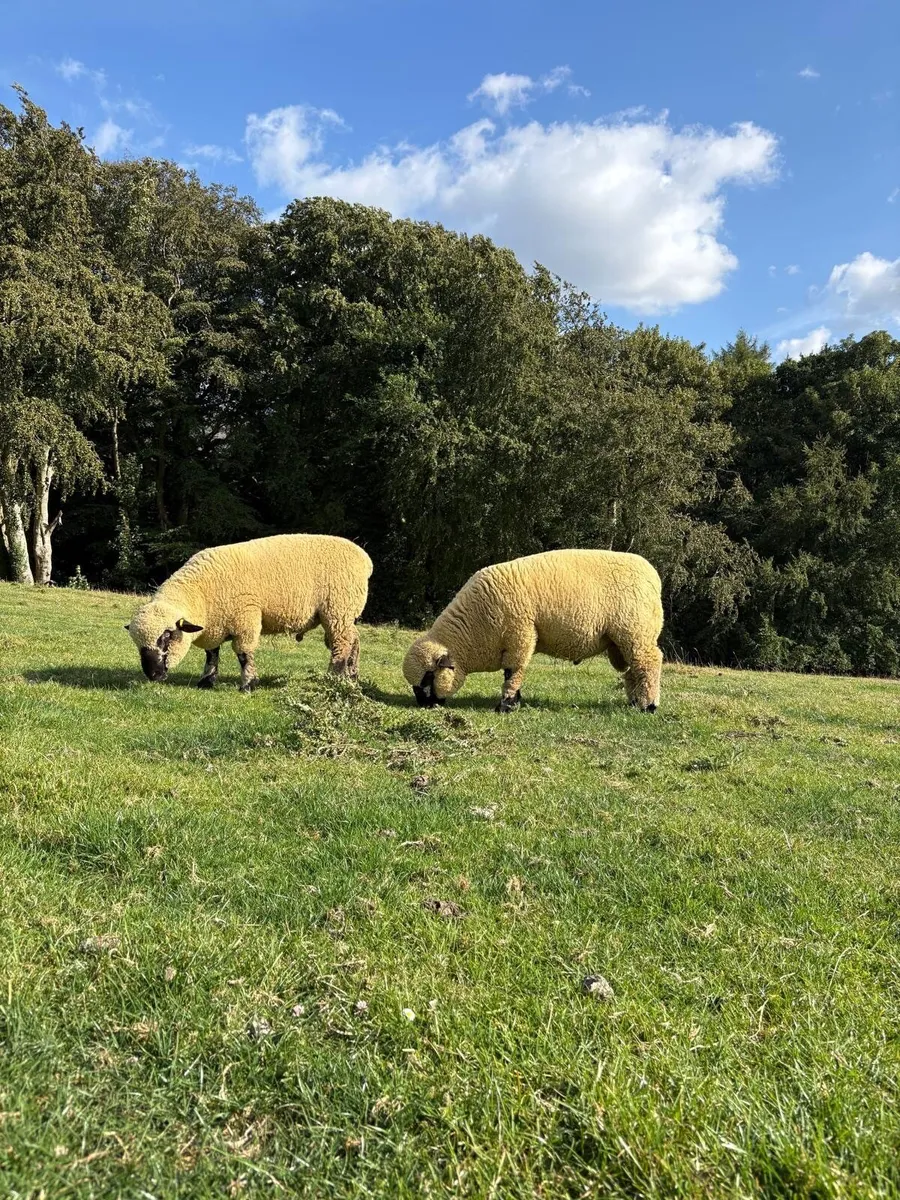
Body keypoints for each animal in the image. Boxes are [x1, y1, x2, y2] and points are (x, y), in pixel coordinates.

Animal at [126, 534, 372, 691]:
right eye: (136, 644)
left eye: (167, 636)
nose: (153, 675)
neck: (202, 593)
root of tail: (364, 559)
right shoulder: (215, 624)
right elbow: (212, 654)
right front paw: (206, 681)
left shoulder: (245, 618)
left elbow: (243, 654)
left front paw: (248, 685)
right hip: (341, 614)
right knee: (354, 640)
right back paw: (352, 677)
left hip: (337, 609)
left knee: (342, 644)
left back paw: (333, 677)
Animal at [402, 549, 663, 713]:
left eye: (428, 677)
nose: (423, 706)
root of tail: (653, 575)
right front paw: (514, 702)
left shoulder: (519, 634)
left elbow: (512, 672)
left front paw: (506, 706)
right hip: (624, 640)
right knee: (634, 670)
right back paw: (634, 702)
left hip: (636, 631)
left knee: (649, 662)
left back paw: (649, 706)